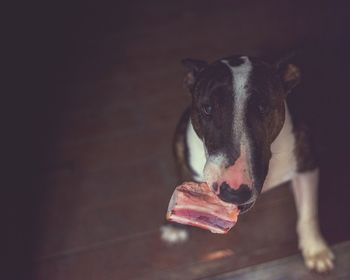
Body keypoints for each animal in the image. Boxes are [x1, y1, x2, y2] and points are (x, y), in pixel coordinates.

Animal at [161, 53, 334, 272]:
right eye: (207, 108)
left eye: (262, 107)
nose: (233, 192)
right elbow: (181, 181)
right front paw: (175, 226)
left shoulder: (306, 162)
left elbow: (308, 212)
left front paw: (315, 249)